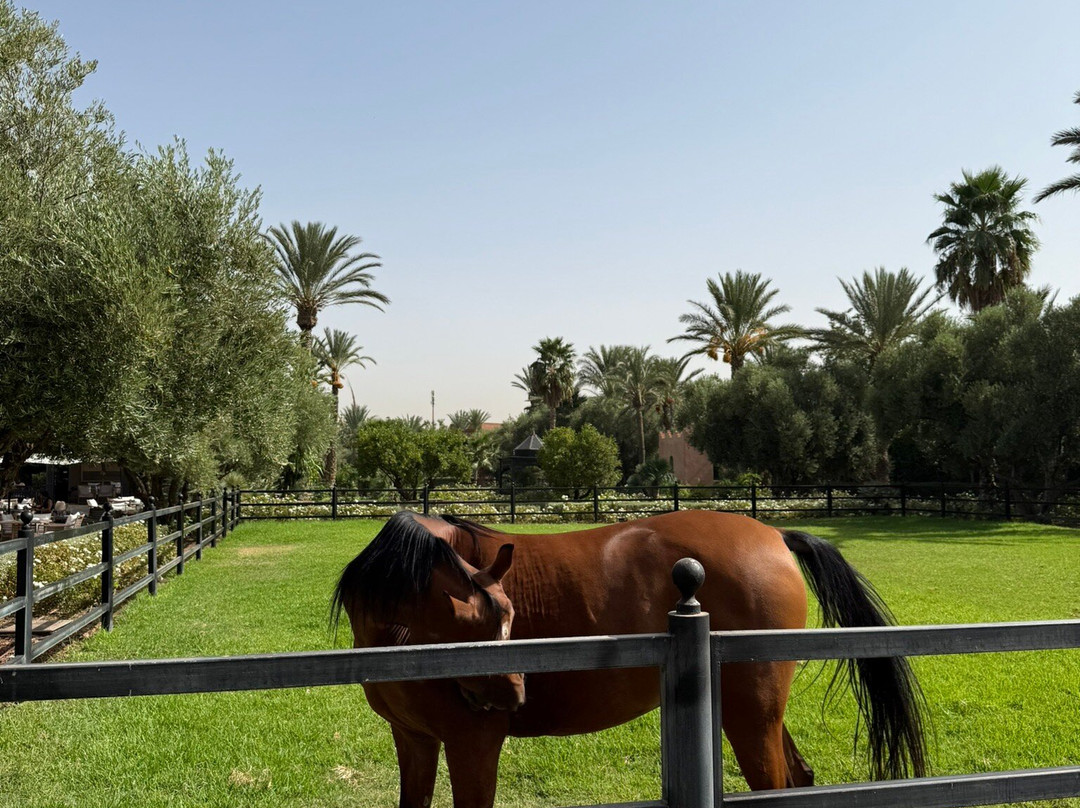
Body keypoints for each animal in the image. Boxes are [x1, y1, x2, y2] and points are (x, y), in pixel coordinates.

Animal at [332, 509, 927, 808]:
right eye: (472, 623)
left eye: (507, 617)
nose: (516, 693)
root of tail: (775, 535)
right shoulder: (414, 740)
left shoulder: (471, 743)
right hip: (755, 707)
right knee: (799, 779)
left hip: (752, 713)